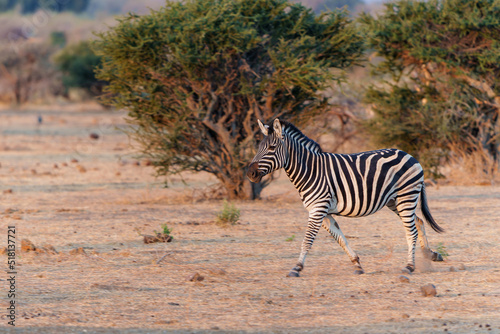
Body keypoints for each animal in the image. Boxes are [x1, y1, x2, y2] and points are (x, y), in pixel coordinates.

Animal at [247, 118, 446, 278]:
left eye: (272, 148)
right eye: (258, 148)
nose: (250, 173)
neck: (310, 170)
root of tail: (410, 156)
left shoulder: (318, 209)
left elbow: (307, 240)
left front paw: (296, 268)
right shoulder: (323, 212)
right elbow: (340, 238)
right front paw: (357, 264)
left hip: (406, 196)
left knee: (411, 230)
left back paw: (409, 266)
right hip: (394, 201)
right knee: (418, 221)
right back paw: (430, 254)